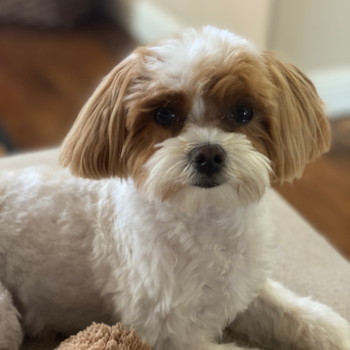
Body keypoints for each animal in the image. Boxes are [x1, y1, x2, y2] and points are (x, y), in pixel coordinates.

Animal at [0, 26, 350, 348]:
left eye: (243, 112)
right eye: (164, 114)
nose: (208, 154)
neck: (207, 220)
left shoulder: (243, 288)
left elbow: (290, 312)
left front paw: (332, 332)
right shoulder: (170, 333)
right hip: (7, 315)